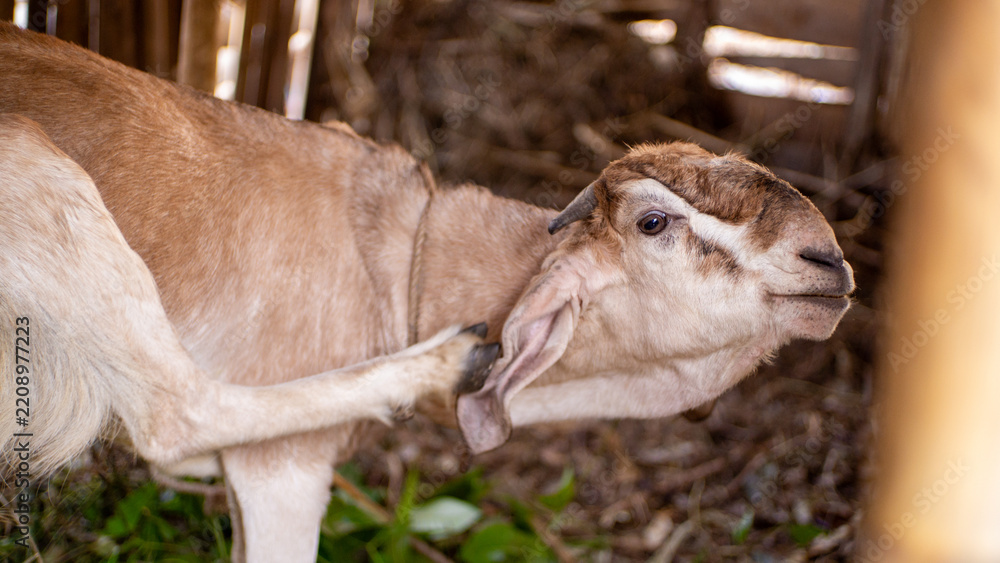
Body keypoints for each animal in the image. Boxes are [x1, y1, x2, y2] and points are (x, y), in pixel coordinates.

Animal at [0, 23, 854, 562]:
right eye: (653, 221)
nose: (830, 263)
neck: (400, 256)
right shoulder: (283, 469)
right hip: (36, 179)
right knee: (174, 411)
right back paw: (446, 359)